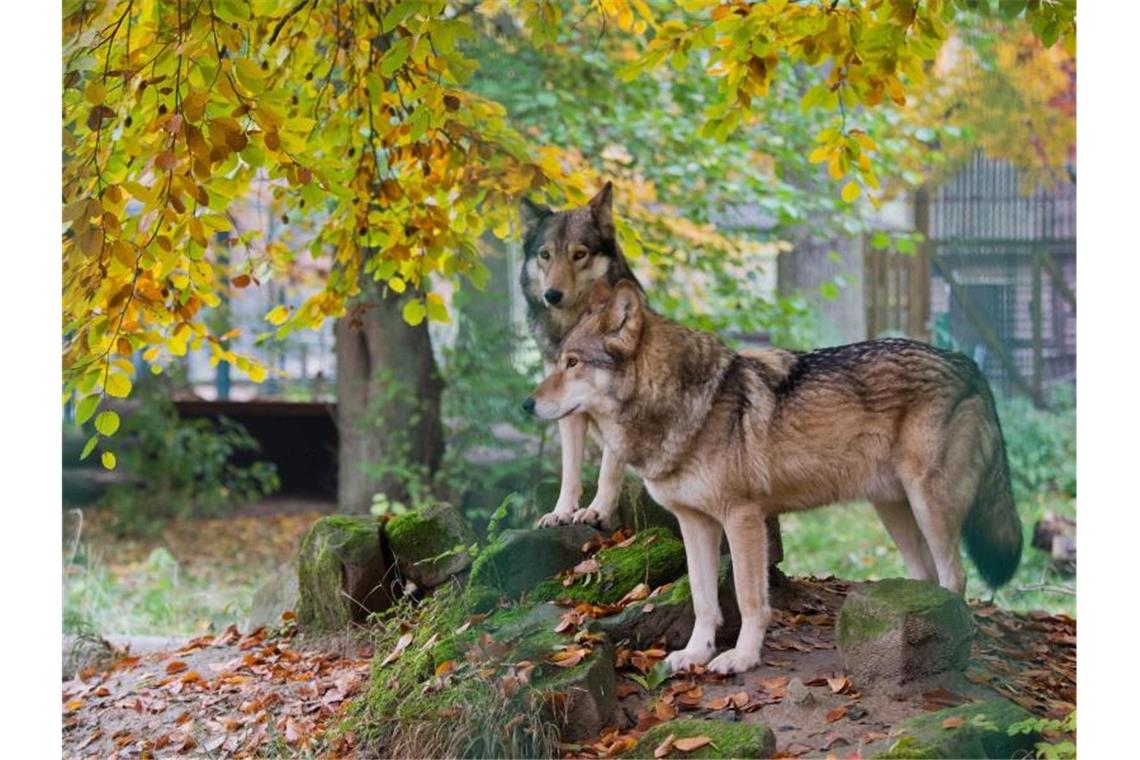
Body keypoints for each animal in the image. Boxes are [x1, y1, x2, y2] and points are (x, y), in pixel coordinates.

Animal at [517, 182, 642, 528]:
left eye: (579, 254)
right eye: (545, 255)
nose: (552, 295)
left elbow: (607, 471)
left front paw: (597, 510)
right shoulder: (566, 408)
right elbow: (570, 470)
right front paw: (561, 512)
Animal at [524, 282, 1026, 674]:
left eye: (572, 363)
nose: (527, 405)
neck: (687, 404)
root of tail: (969, 364)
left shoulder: (742, 518)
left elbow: (749, 599)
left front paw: (741, 659)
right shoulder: (694, 523)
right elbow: (703, 599)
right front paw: (695, 654)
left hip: (929, 505)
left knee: (956, 576)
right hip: (895, 512)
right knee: (926, 575)